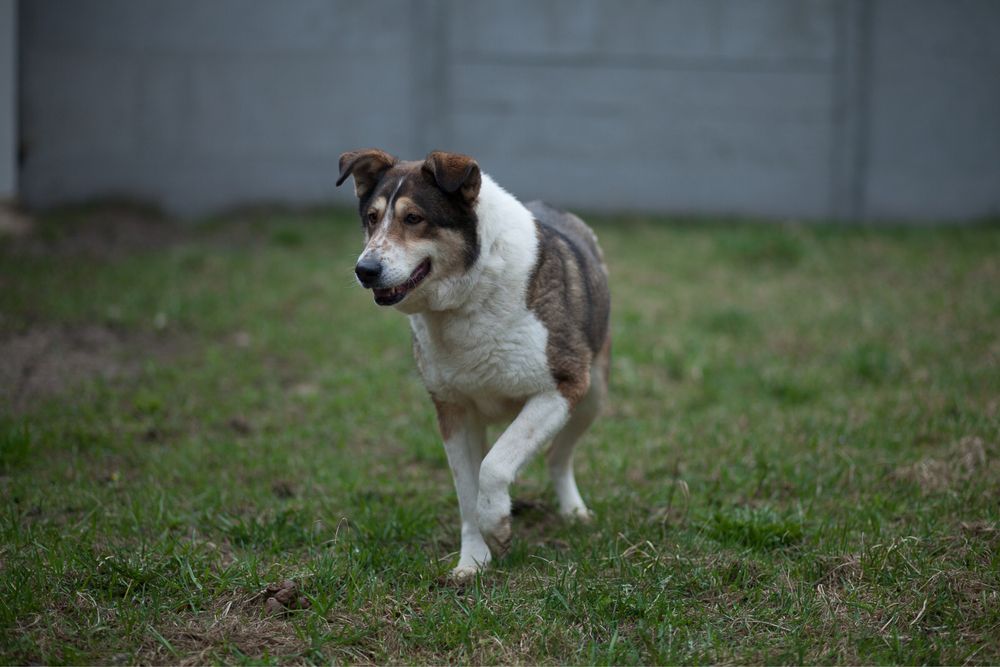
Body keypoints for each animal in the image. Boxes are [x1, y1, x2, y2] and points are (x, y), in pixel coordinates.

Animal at [336, 150, 608, 580]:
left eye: (414, 218)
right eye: (373, 218)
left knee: (558, 456)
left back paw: (573, 511)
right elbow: (467, 489)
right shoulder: (453, 410)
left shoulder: (563, 386)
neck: (468, 295)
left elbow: (493, 467)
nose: (365, 270)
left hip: (592, 395)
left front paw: (498, 526)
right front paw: (473, 561)